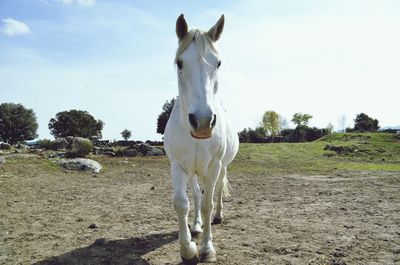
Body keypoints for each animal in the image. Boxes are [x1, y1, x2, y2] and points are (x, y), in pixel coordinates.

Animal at [164, 13, 239, 262]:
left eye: (218, 63)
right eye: (179, 63)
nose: (203, 122)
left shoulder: (214, 166)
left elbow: (208, 204)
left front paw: (207, 249)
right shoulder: (178, 166)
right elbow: (182, 203)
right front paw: (188, 249)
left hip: (221, 168)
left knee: (217, 193)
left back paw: (218, 216)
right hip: (194, 172)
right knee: (196, 195)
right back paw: (196, 226)